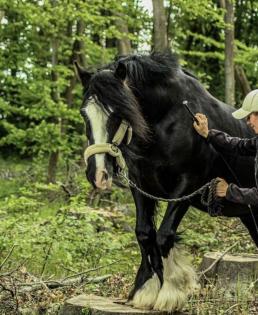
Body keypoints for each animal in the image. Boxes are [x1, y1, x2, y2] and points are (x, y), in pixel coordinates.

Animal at [74, 54, 256, 314]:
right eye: (84, 114)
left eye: (118, 114)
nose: (98, 174)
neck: (166, 120)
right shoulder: (140, 185)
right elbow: (144, 234)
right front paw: (145, 289)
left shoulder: (187, 186)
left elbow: (164, 235)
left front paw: (171, 292)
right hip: (249, 215)